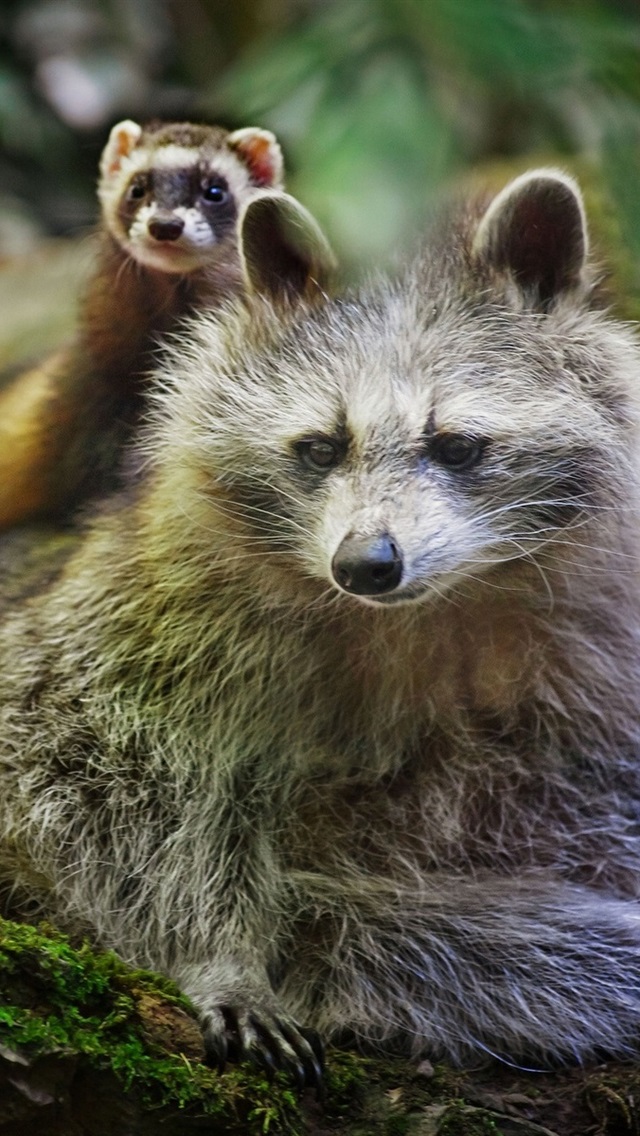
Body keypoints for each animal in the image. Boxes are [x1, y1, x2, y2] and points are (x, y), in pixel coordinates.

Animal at [2, 171, 640, 1086]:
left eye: (456, 446)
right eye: (320, 448)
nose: (366, 565)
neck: (413, 614)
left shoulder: (595, 657)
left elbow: (586, 806)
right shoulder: (150, 618)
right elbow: (86, 773)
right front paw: (217, 953)